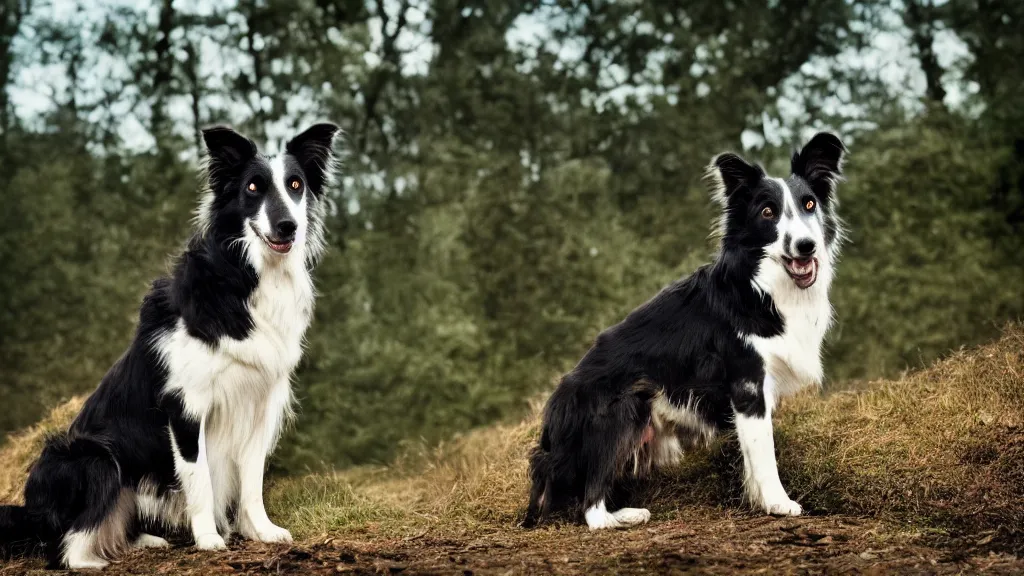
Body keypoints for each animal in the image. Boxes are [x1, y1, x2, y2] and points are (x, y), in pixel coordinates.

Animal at [0, 120, 344, 565]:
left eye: (296, 185)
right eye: (253, 187)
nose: (288, 226)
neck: (243, 277)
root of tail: (32, 515)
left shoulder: (259, 405)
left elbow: (252, 480)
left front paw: (262, 531)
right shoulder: (186, 406)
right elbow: (200, 480)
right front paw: (209, 538)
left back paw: (141, 541)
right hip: (92, 458)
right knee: (66, 546)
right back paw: (94, 559)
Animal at [524, 132, 843, 528]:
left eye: (809, 204)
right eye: (768, 212)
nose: (805, 246)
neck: (761, 286)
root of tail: (554, 415)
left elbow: (753, 453)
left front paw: (757, 499)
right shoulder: (747, 382)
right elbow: (764, 452)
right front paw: (778, 503)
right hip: (626, 406)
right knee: (591, 505)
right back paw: (622, 517)